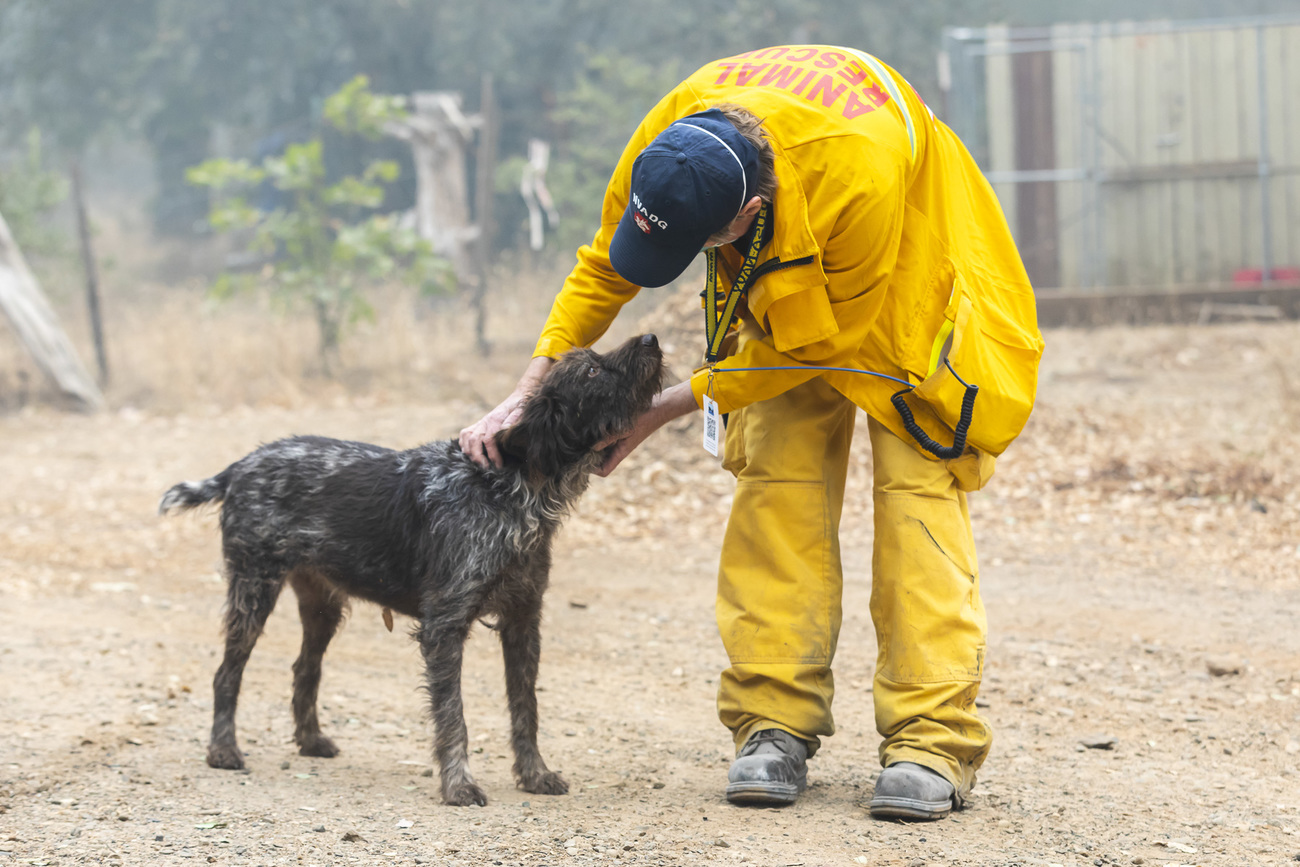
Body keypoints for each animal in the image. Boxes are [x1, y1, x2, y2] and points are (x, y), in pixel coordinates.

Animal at [161, 337, 665, 805]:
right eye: (592, 371)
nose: (652, 339)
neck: (510, 488)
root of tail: (240, 467)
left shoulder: (523, 620)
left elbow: (527, 708)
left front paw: (534, 774)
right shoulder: (444, 626)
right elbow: (454, 716)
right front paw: (459, 784)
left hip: (322, 607)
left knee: (304, 668)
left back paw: (311, 740)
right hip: (253, 590)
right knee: (226, 673)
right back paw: (223, 750)